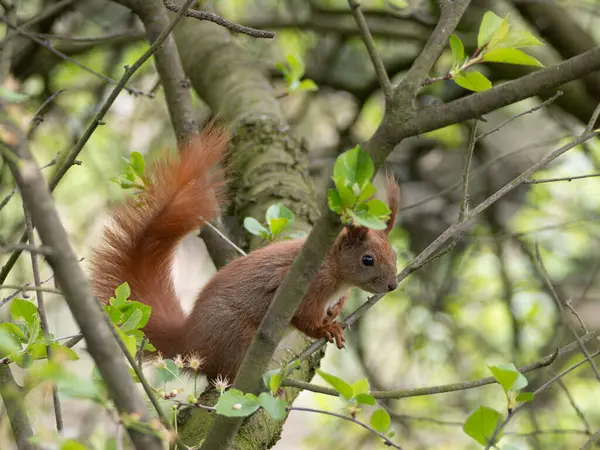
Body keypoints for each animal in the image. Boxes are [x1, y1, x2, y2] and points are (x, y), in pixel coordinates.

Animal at [89, 123, 398, 380]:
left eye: (394, 255)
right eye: (367, 260)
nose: (393, 286)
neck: (332, 266)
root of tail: (189, 341)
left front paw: (336, 309)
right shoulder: (307, 286)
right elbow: (303, 318)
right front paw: (326, 329)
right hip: (235, 336)